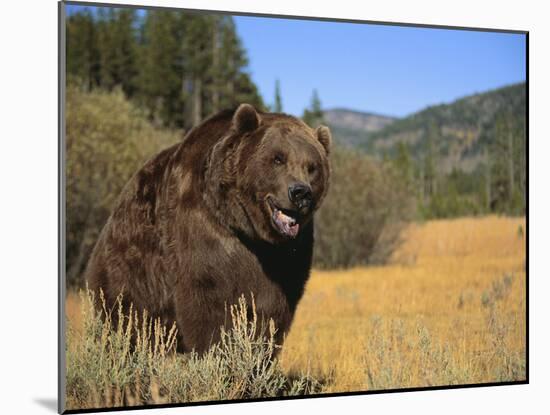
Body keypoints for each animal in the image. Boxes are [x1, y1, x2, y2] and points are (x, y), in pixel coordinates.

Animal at [86, 105, 332, 354]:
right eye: (278, 158)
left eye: (312, 167)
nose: (300, 192)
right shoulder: (205, 231)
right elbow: (211, 305)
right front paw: (219, 351)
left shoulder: (287, 257)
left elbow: (271, 312)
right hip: (131, 266)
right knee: (125, 317)